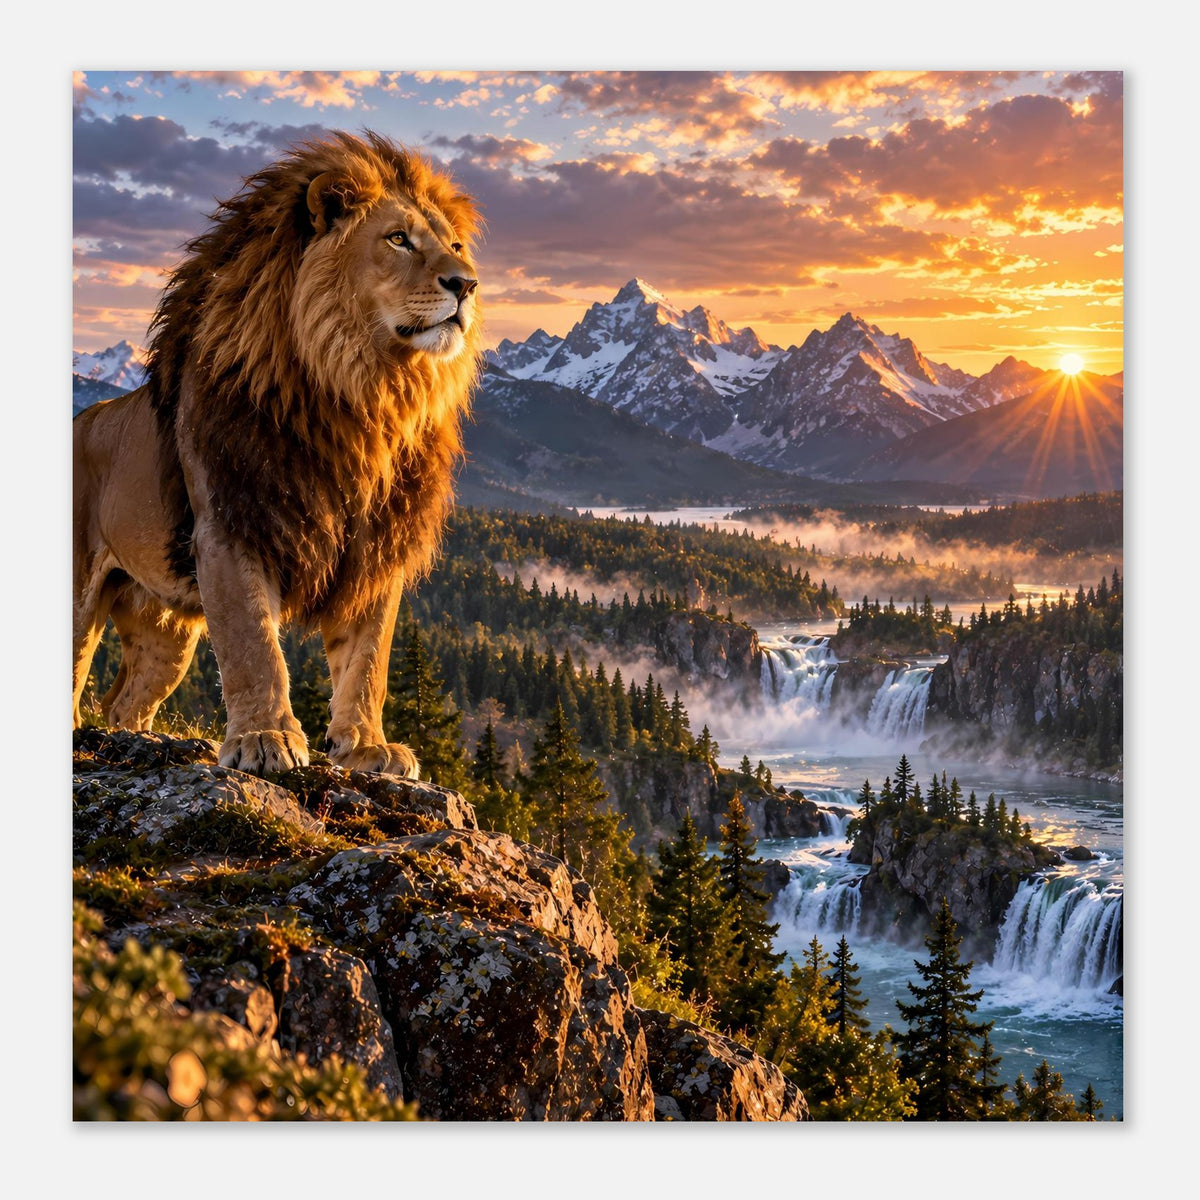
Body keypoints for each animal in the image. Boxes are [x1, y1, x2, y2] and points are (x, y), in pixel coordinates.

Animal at [73, 131, 483, 778]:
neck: (361, 393)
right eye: (398, 239)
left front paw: (365, 746)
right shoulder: (231, 524)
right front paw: (265, 738)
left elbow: (368, 660)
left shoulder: (375, 548)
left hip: (165, 629)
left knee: (122, 705)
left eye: (457, 246)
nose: (466, 285)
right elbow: (253, 644)